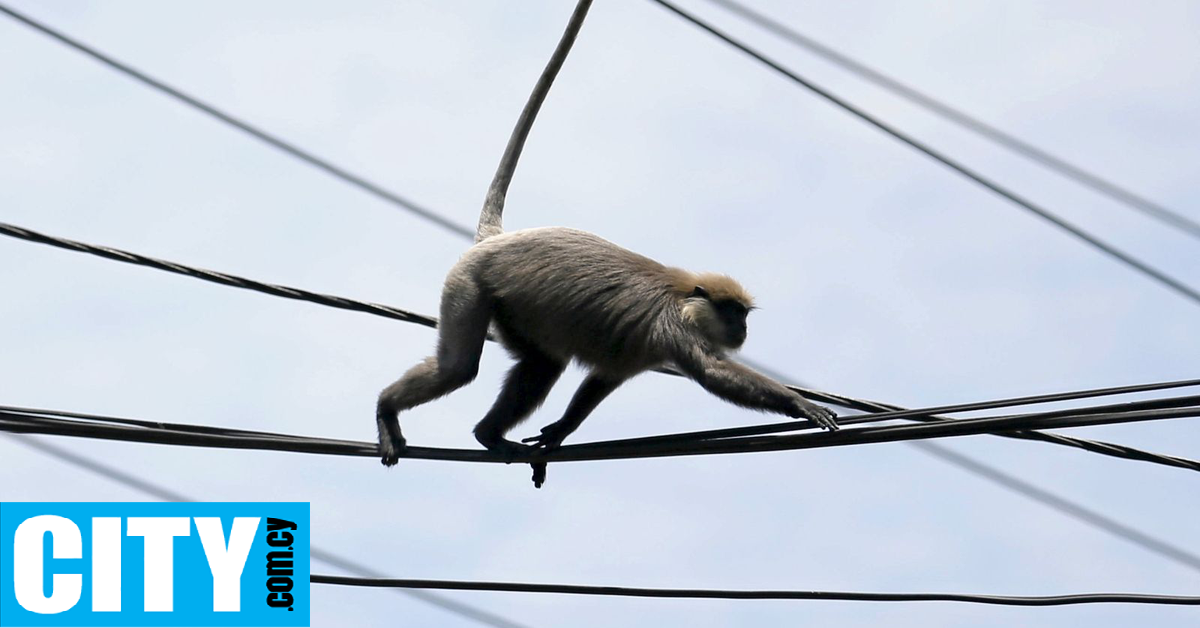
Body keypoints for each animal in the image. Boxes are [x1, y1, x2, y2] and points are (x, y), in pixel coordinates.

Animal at [372, 0, 835, 470]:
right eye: (733, 313)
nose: (742, 329)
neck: (684, 298)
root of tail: (497, 239)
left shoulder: (641, 350)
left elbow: (603, 379)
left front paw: (559, 431)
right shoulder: (673, 329)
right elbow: (713, 373)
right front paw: (799, 404)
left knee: (542, 364)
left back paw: (488, 434)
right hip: (469, 282)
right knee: (460, 367)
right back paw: (387, 409)